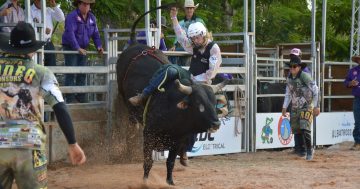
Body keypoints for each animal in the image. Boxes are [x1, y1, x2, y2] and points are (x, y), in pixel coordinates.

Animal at [116, 44, 224, 185]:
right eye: (199, 104)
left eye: (214, 103)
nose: (216, 124)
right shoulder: (148, 135)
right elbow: (148, 161)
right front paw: (145, 181)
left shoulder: (177, 141)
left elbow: (170, 162)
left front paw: (170, 182)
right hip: (122, 93)